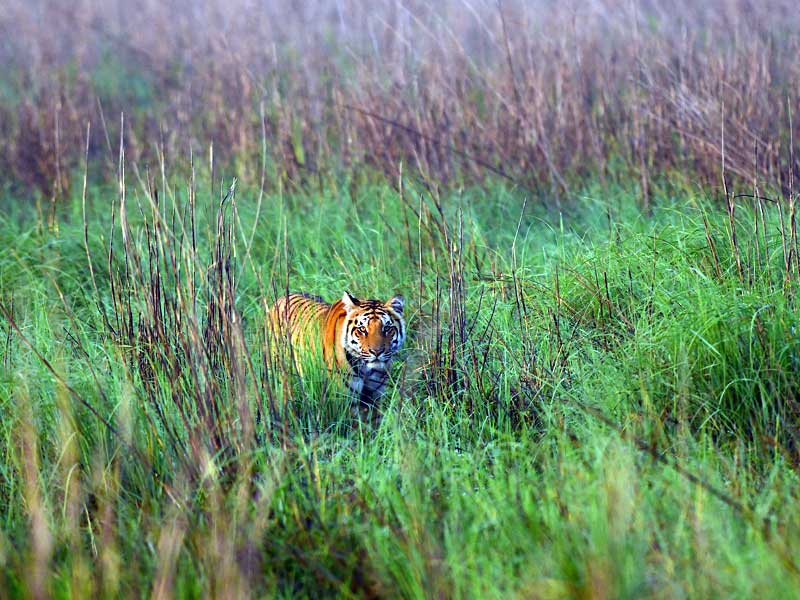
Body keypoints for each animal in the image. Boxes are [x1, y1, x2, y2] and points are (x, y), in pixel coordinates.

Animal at [268, 290, 406, 408]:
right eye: (362, 329)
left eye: (387, 328)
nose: (377, 352)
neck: (366, 370)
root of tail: (281, 298)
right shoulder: (346, 399)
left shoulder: (375, 398)